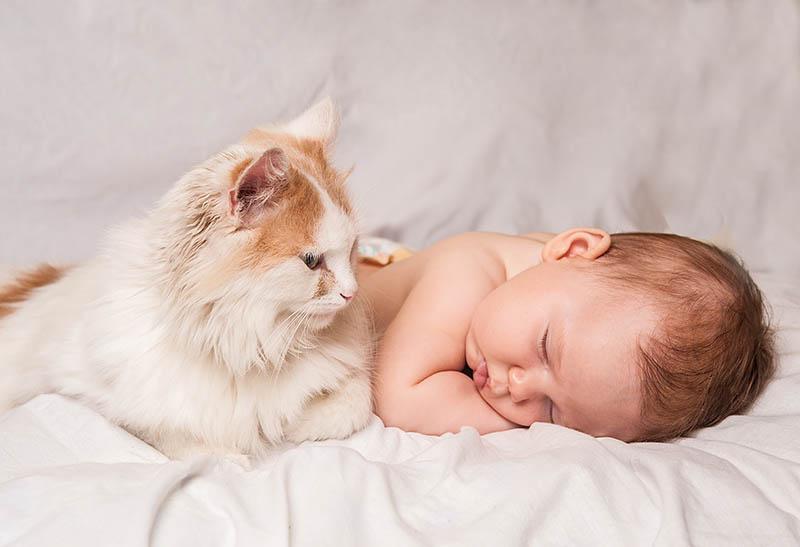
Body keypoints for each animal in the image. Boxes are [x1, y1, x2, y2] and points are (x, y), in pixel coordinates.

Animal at [0, 98, 376, 466]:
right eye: (311, 261)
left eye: (352, 249)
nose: (352, 292)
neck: (247, 344)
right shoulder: (81, 392)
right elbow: (182, 440)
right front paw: (233, 455)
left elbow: (357, 400)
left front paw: (302, 424)